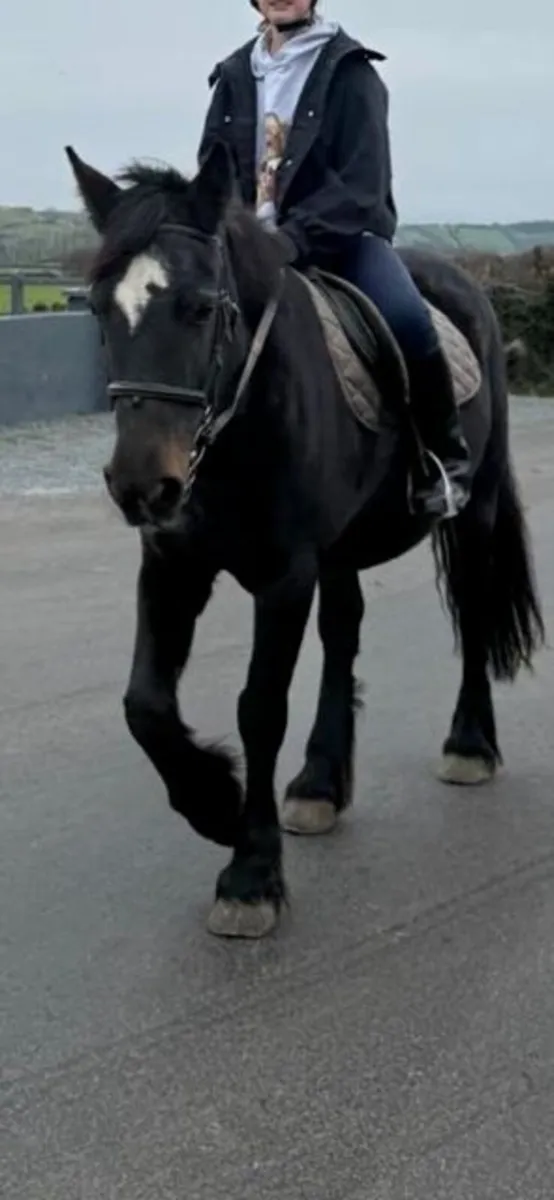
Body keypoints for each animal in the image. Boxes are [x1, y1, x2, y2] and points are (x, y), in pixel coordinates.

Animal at [64, 140, 545, 939]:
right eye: (102, 310)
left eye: (201, 307)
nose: (139, 485)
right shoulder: (173, 564)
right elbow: (145, 705)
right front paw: (214, 803)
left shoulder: (284, 575)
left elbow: (260, 707)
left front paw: (251, 873)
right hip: (340, 550)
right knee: (345, 630)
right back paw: (320, 781)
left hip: (470, 511)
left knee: (473, 612)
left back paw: (469, 746)